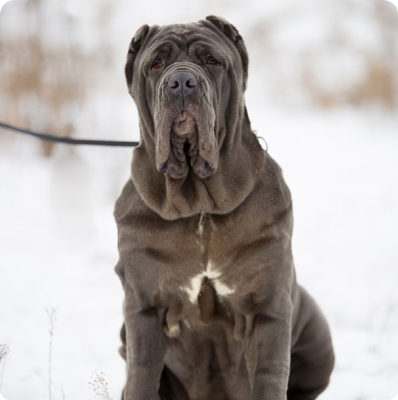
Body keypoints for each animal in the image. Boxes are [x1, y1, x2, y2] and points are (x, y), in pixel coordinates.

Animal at [113, 14, 334, 400]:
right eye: (155, 64)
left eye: (212, 61)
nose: (181, 82)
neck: (199, 207)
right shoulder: (143, 306)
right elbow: (141, 374)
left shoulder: (266, 309)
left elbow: (269, 375)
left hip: (320, 336)